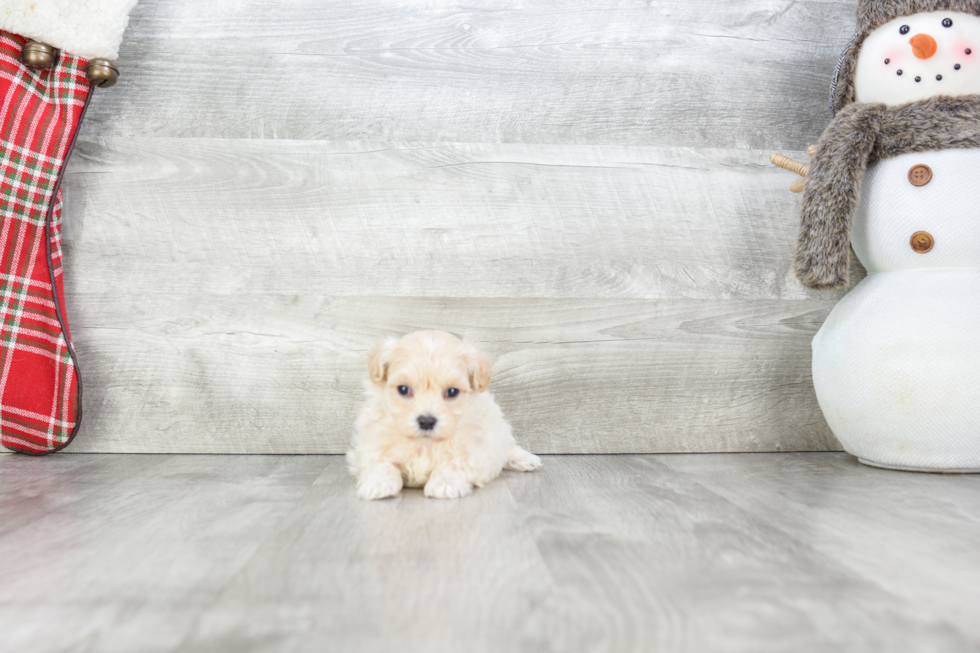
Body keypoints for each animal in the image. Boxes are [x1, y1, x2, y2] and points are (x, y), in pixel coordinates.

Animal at [346, 332, 544, 500]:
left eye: (452, 392)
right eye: (403, 389)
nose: (426, 421)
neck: (424, 444)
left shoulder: (476, 450)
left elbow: (456, 463)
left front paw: (445, 484)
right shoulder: (370, 445)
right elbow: (380, 463)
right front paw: (378, 484)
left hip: (498, 427)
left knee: (506, 447)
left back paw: (524, 459)